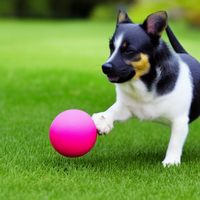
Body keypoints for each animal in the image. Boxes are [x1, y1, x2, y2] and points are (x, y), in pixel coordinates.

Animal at [92, 10, 200, 167]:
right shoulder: (126, 107)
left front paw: (171, 161)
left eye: (129, 50)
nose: (105, 67)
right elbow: (113, 109)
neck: (144, 84)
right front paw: (103, 120)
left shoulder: (180, 121)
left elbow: (175, 142)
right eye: (111, 47)